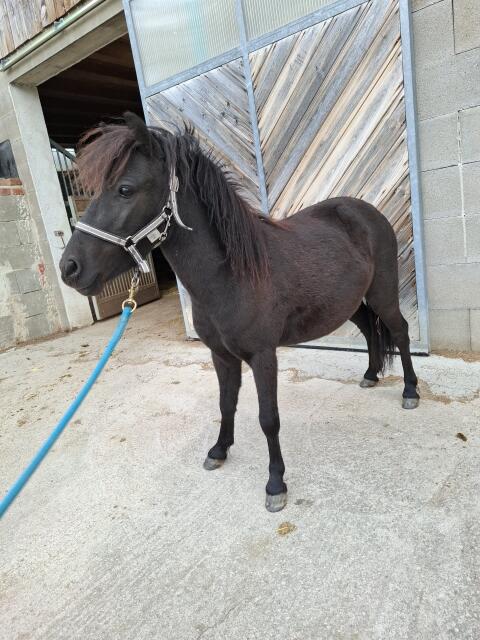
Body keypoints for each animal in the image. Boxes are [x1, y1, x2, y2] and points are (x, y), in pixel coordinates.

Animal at [60, 112, 419, 512]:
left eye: (125, 189)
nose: (69, 268)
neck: (231, 274)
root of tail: (367, 212)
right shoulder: (221, 355)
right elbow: (226, 403)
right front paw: (219, 450)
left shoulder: (263, 356)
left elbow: (268, 419)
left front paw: (275, 484)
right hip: (349, 304)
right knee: (370, 329)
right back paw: (370, 375)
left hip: (383, 293)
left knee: (400, 331)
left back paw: (410, 391)